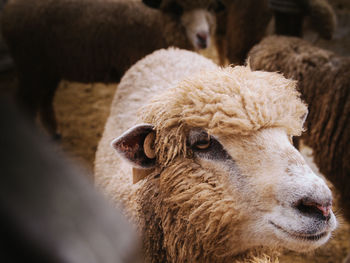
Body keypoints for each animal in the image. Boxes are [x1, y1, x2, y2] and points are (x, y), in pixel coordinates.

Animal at [1, 0, 220, 137]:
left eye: (210, 6)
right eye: (177, 7)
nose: (203, 37)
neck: (158, 20)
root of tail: (9, 9)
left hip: (47, 68)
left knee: (45, 98)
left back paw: (53, 132)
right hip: (31, 66)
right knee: (26, 103)